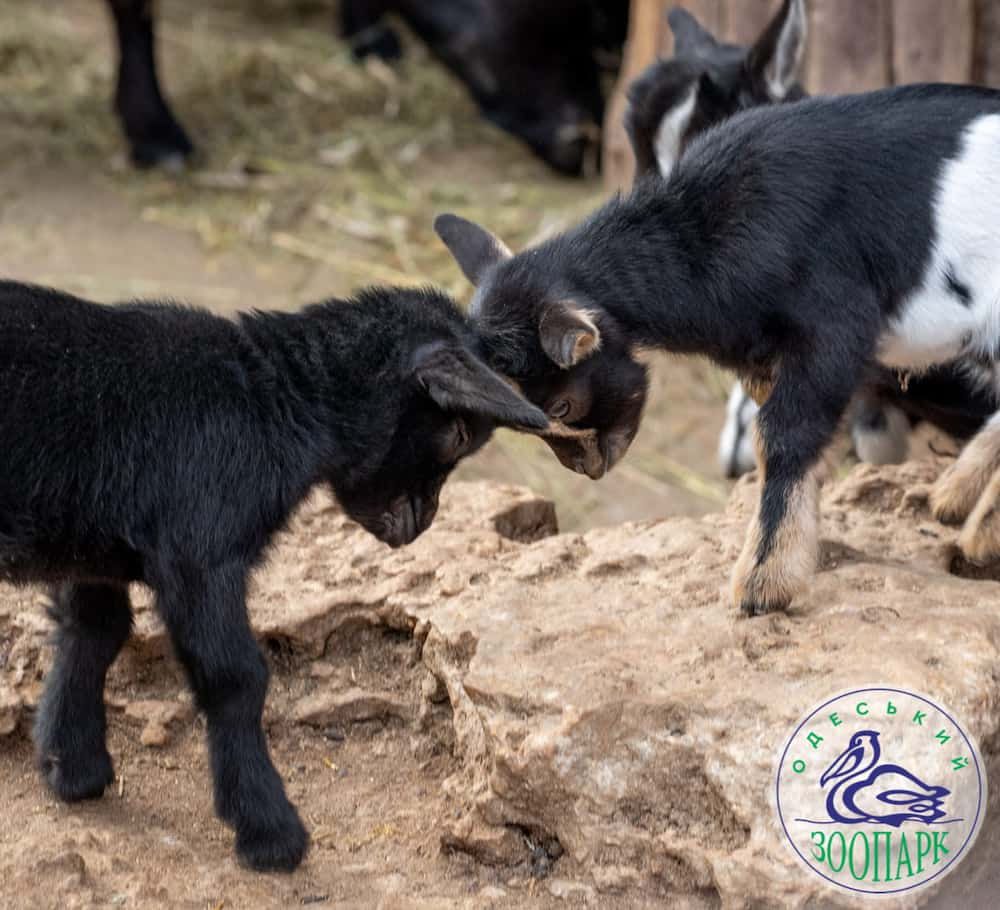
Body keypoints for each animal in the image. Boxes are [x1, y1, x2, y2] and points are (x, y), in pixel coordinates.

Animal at [1, 280, 548, 876]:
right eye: (458, 433)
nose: (421, 520)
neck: (280, 397)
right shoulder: (202, 553)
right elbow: (236, 677)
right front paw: (270, 832)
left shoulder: (99, 548)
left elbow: (93, 632)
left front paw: (73, 767)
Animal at [436, 83, 1000, 612]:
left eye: (561, 405)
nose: (589, 468)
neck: (706, 233)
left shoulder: (834, 328)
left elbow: (782, 435)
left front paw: (764, 586)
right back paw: (955, 498)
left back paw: (979, 538)